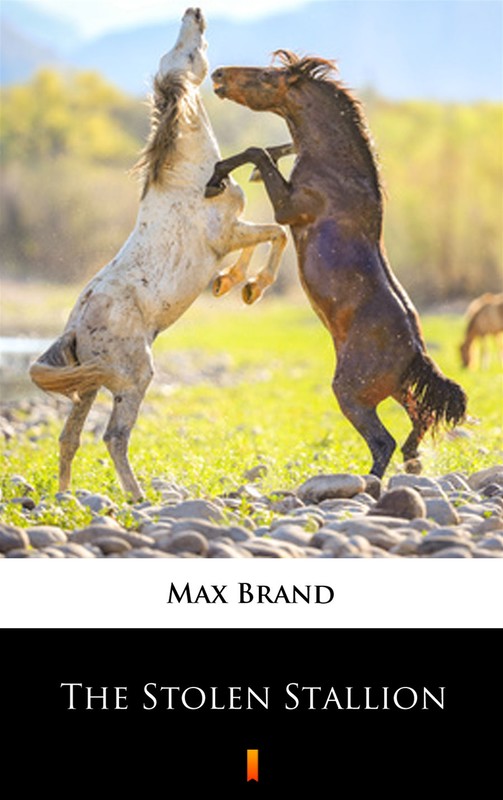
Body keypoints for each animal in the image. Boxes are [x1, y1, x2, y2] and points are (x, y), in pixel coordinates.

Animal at [29, 8, 287, 501]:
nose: (194, 11)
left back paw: (65, 496)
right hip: (135, 377)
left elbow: (264, 240)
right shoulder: (227, 234)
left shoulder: (234, 234)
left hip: (88, 384)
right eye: (185, 54)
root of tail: (74, 328)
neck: (192, 177)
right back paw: (136, 496)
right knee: (113, 436)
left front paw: (230, 283)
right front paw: (250, 288)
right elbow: (278, 234)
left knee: (70, 437)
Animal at [205, 50, 467, 478]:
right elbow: (268, 151)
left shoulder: (289, 208)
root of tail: (414, 351)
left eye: (266, 76)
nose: (218, 74)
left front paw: (217, 180)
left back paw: (369, 482)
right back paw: (412, 461)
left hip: (350, 391)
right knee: (419, 422)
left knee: (383, 442)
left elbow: (257, 151)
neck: (336, 167)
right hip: (398, 390)